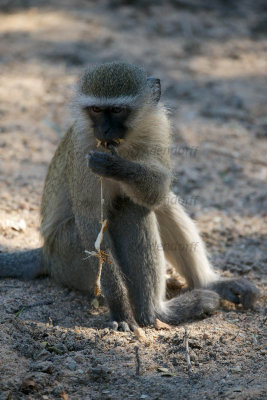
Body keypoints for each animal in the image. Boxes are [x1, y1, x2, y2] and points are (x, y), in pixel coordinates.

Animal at [0, 61, 260, 332]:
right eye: (96, 109)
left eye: (117, 110)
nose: (104, 130)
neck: (124, 144)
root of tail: (46, 254)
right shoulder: (84, 150)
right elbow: (93, 225)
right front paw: (121, 309)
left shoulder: (158, 126)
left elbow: (158, 190)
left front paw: (119, 168)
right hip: (69, 255)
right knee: (130, 209)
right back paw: (158, 313)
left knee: (154, 202)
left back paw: (210, 285)